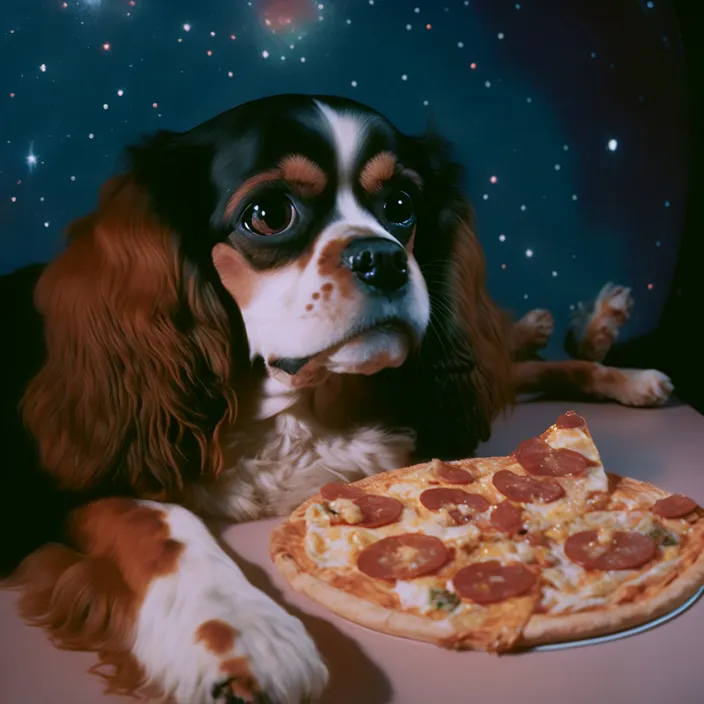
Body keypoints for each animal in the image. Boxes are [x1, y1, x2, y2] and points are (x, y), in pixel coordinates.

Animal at [0, 95, 672, 704]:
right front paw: (245, 635)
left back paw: (610, 351)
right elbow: (161, 523)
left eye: (400, 206)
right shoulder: (60, 487)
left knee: (512, 360)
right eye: (269, 213)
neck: (301, 406)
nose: (384, 259)